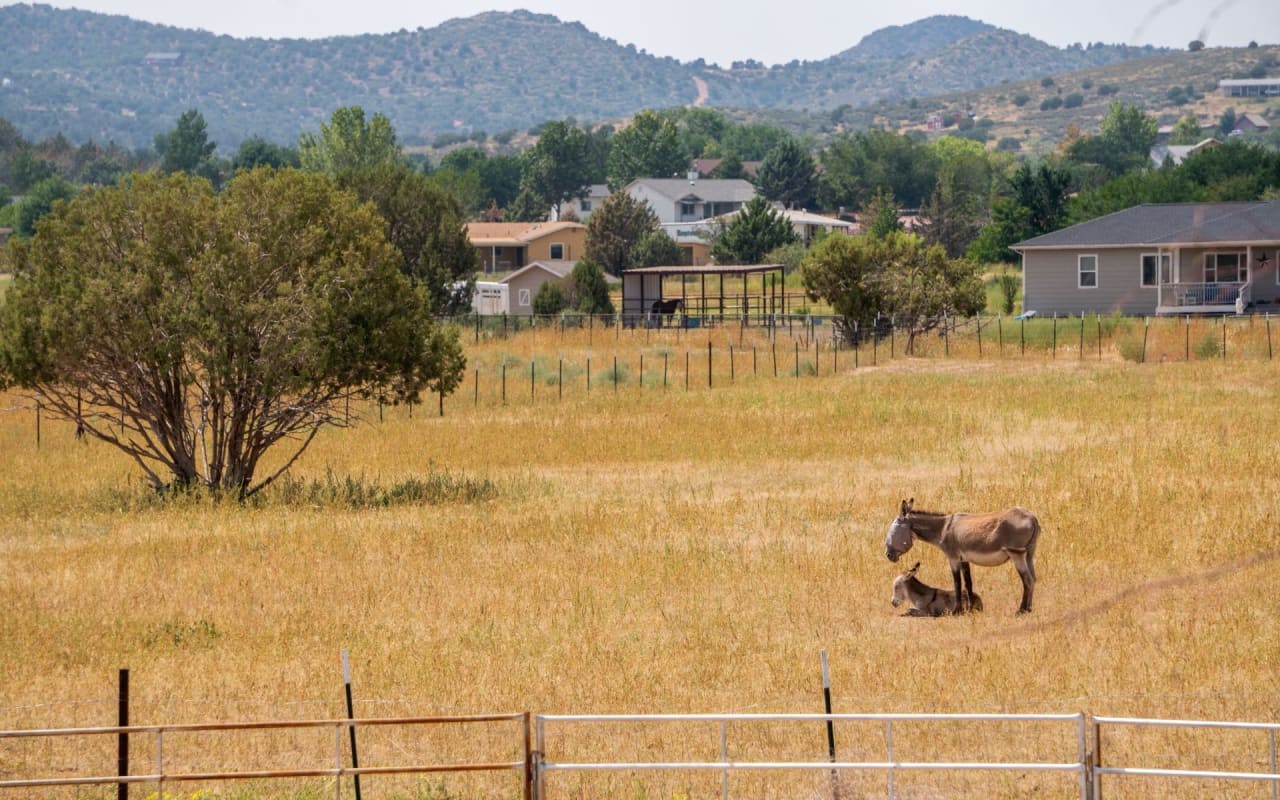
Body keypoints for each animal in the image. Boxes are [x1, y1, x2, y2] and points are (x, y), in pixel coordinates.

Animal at [890, 496, 1039, 614]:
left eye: (893, 529)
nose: (889, 555)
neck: (943, 529)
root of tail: (1032, 517)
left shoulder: (953, 558)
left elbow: (957, 583)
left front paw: (956, 611)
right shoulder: (964, 559)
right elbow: (968, 583)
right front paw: (970, 609)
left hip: (1016, 554)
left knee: (1027, 580)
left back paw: (1021, 610)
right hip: (1029, 554)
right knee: (1033, 578)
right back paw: (1029, 608)